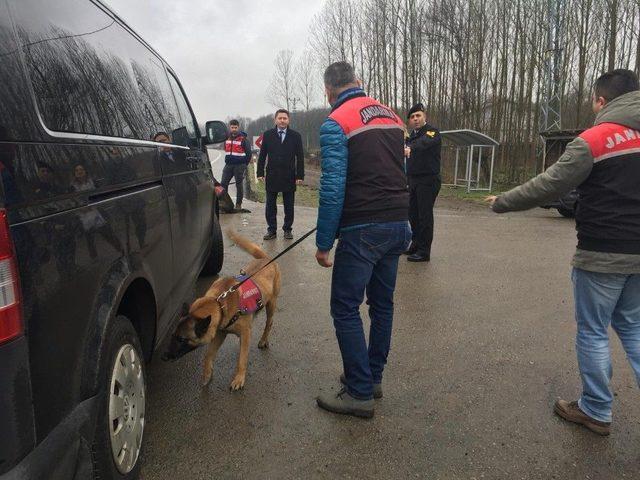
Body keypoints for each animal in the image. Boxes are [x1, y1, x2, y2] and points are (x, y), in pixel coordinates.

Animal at [162, 231, 280, 392]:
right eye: (173, 336)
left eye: (182, 339)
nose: (164, 357)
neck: (218, 303)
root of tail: (266, 259)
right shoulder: (219, 334)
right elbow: (208, 355)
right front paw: (207, 375)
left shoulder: (242, 332)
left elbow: (242, 360)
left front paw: (239, 378)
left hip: (271, 305)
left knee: (269, 323)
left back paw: (263, 340)